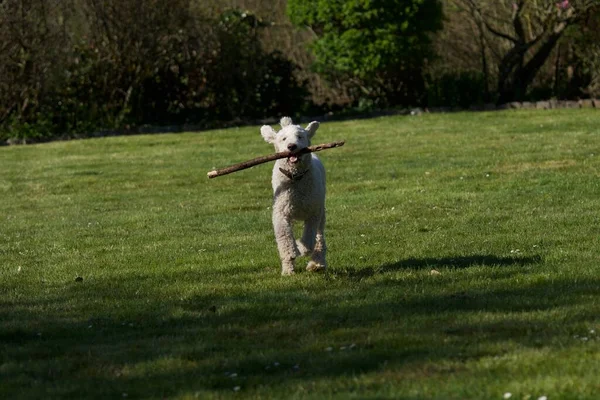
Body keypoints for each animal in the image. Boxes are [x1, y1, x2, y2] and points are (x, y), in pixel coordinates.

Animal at [260, 116, 326, 276]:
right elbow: (284, 237)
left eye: (300, 136)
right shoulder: (281, 212)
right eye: (283, 139)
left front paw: (301, 248)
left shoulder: (313, 212)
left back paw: (317, 263)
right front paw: (291, 253)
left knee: (319, 238)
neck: (296, 178)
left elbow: (308, 238)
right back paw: (288, 270)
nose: (291, 146)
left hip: (321, 211)